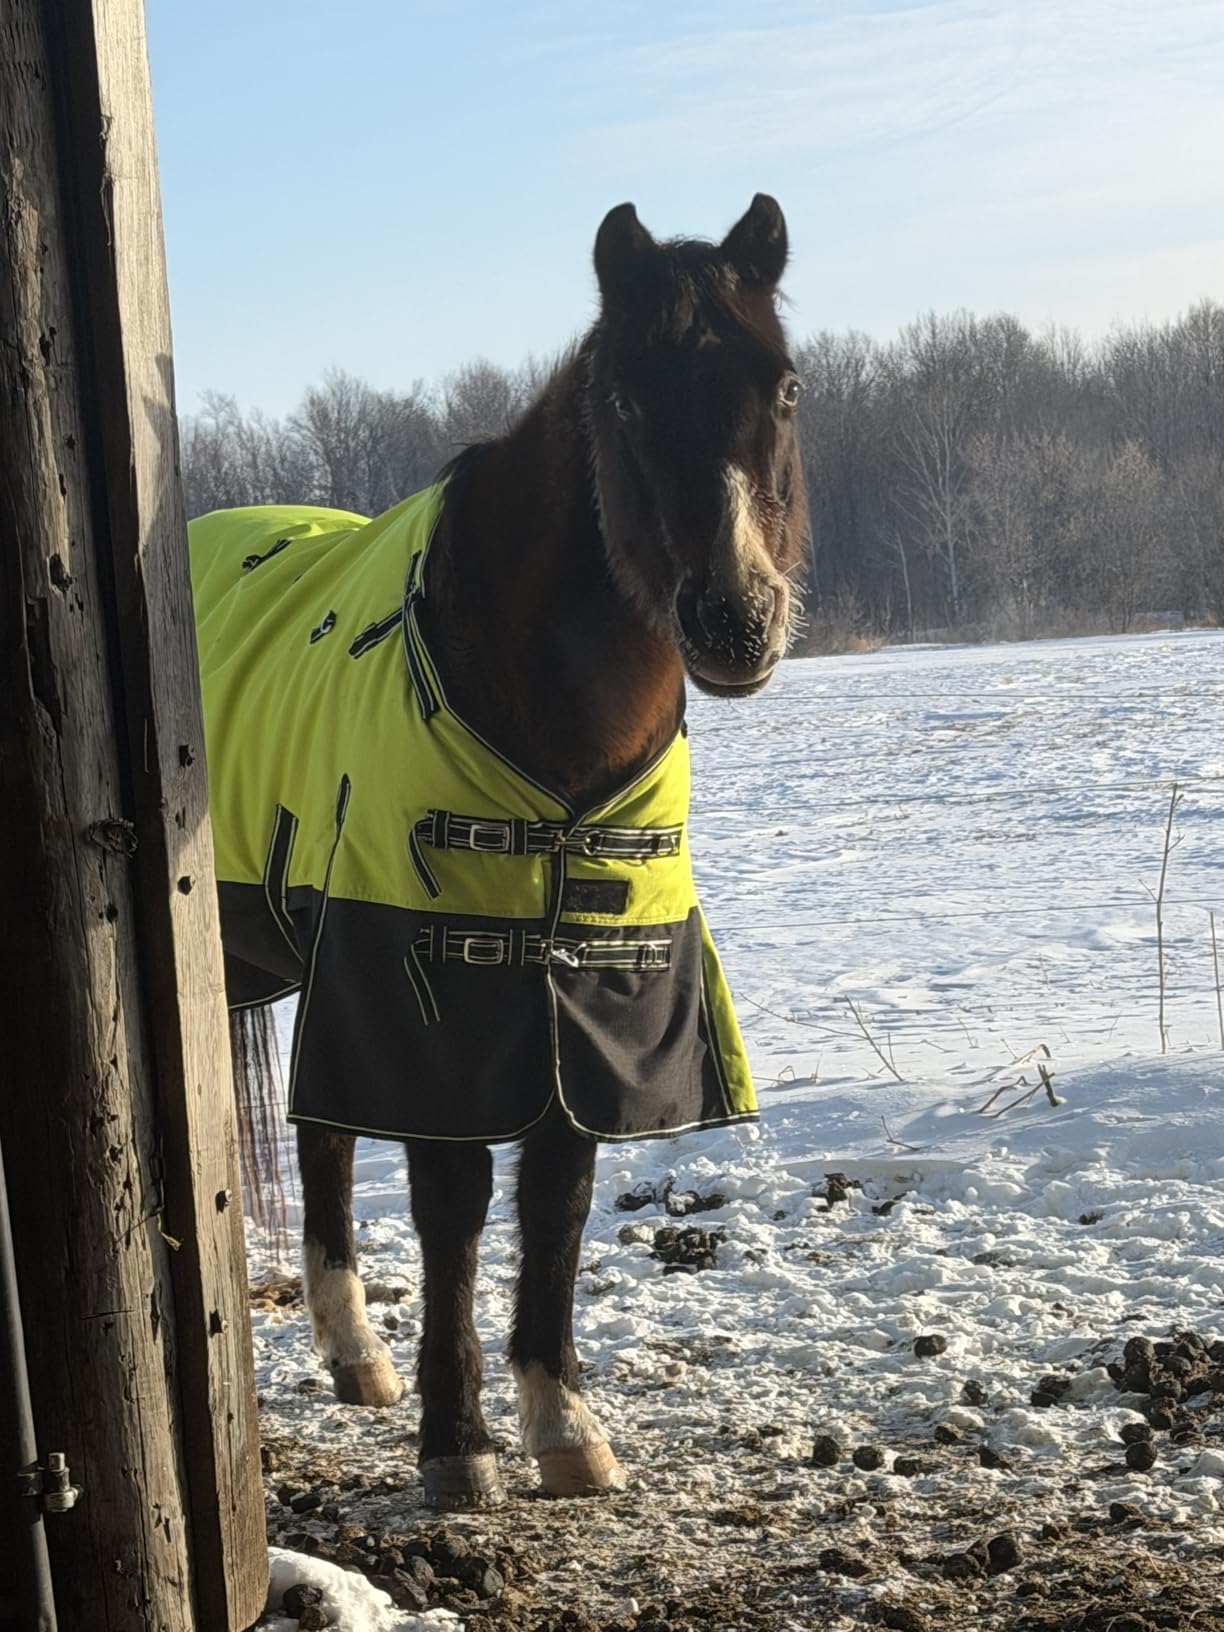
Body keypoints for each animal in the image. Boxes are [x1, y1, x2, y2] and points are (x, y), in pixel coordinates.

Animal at [199, 195, 807, 1510]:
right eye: (626, 397)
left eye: (784, 386)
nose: (735, 620)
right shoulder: (432, 994)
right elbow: (455, 1207)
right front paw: (457, 1442)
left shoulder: (588, 996)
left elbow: (559, 1195)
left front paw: (561, 1422)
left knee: (322, 1135)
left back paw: (354, 1355)